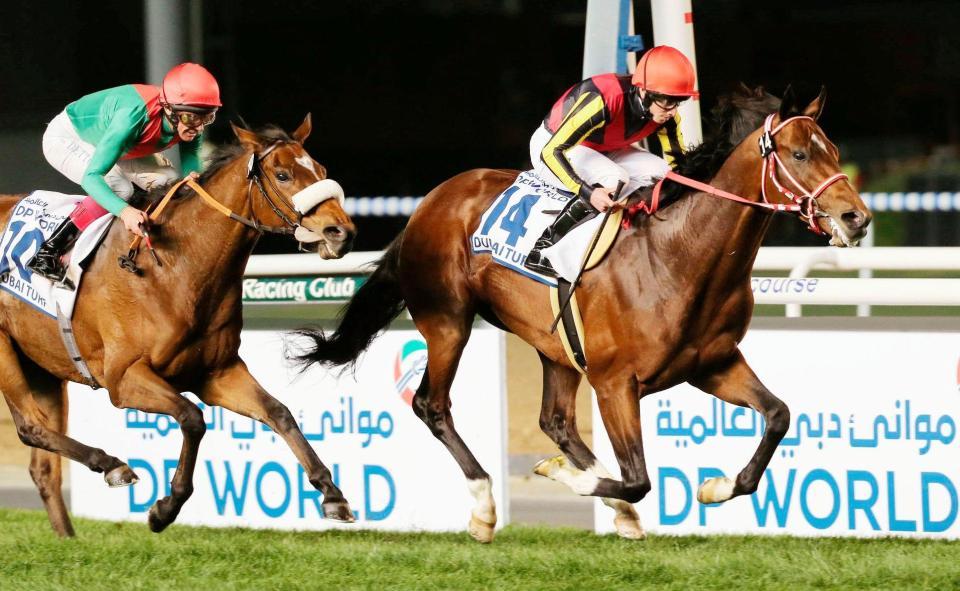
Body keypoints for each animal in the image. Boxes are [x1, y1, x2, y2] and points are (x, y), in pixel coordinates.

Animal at [0, 115, 358, 537]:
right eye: (283, 174)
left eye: (320, 170)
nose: (341, 232)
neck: (177, 265)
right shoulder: (124, 378)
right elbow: (192, 418)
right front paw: (165, 509)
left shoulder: (217, 372)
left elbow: (279, 412)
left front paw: (332, 495)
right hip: (7, 355)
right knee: (29, 427)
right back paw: (113, 466)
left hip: (43, 366)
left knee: (43, 465)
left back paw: (69, 537)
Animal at [291, 87, 872, 542]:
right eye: (799, 153)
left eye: (833, 150)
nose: (857, 218)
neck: (680, 255)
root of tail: (431, 201)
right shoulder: (616, 383)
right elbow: (639, 477)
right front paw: (564, 478)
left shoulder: (713, 364)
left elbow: (778, 416)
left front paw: (713, 487)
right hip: (448, 320)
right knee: (432, 405)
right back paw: (485, 507)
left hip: (554, 346)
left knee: (556, 420)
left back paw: (611, 508)